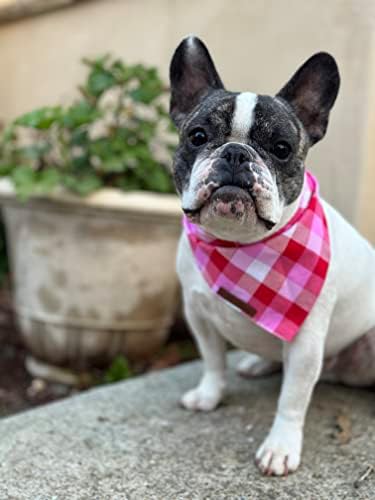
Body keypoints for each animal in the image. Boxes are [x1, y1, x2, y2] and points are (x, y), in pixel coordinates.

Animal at [170, 36, 375, 476]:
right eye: (197, 136)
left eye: (281, 149)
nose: (234, 153)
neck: (239, 246)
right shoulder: (198, 314)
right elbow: (212, 360)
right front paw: (209, 395)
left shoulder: (305, 341)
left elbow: (292, 398)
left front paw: (280, 447)